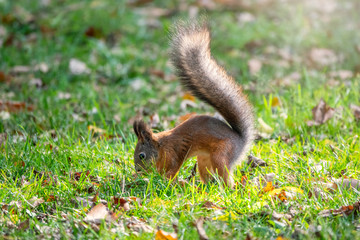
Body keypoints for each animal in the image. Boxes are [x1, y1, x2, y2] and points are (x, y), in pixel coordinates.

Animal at [134, 20, 255, 187]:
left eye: (142, 155)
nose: (137, 170)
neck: (161, 146)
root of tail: (241, 142)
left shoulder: (175, 152)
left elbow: (173, 168)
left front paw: (166, 181)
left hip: (221, 155)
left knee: (225, 177)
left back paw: (226, 189)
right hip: (204, 159)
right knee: (208, 177)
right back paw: (201, 187)